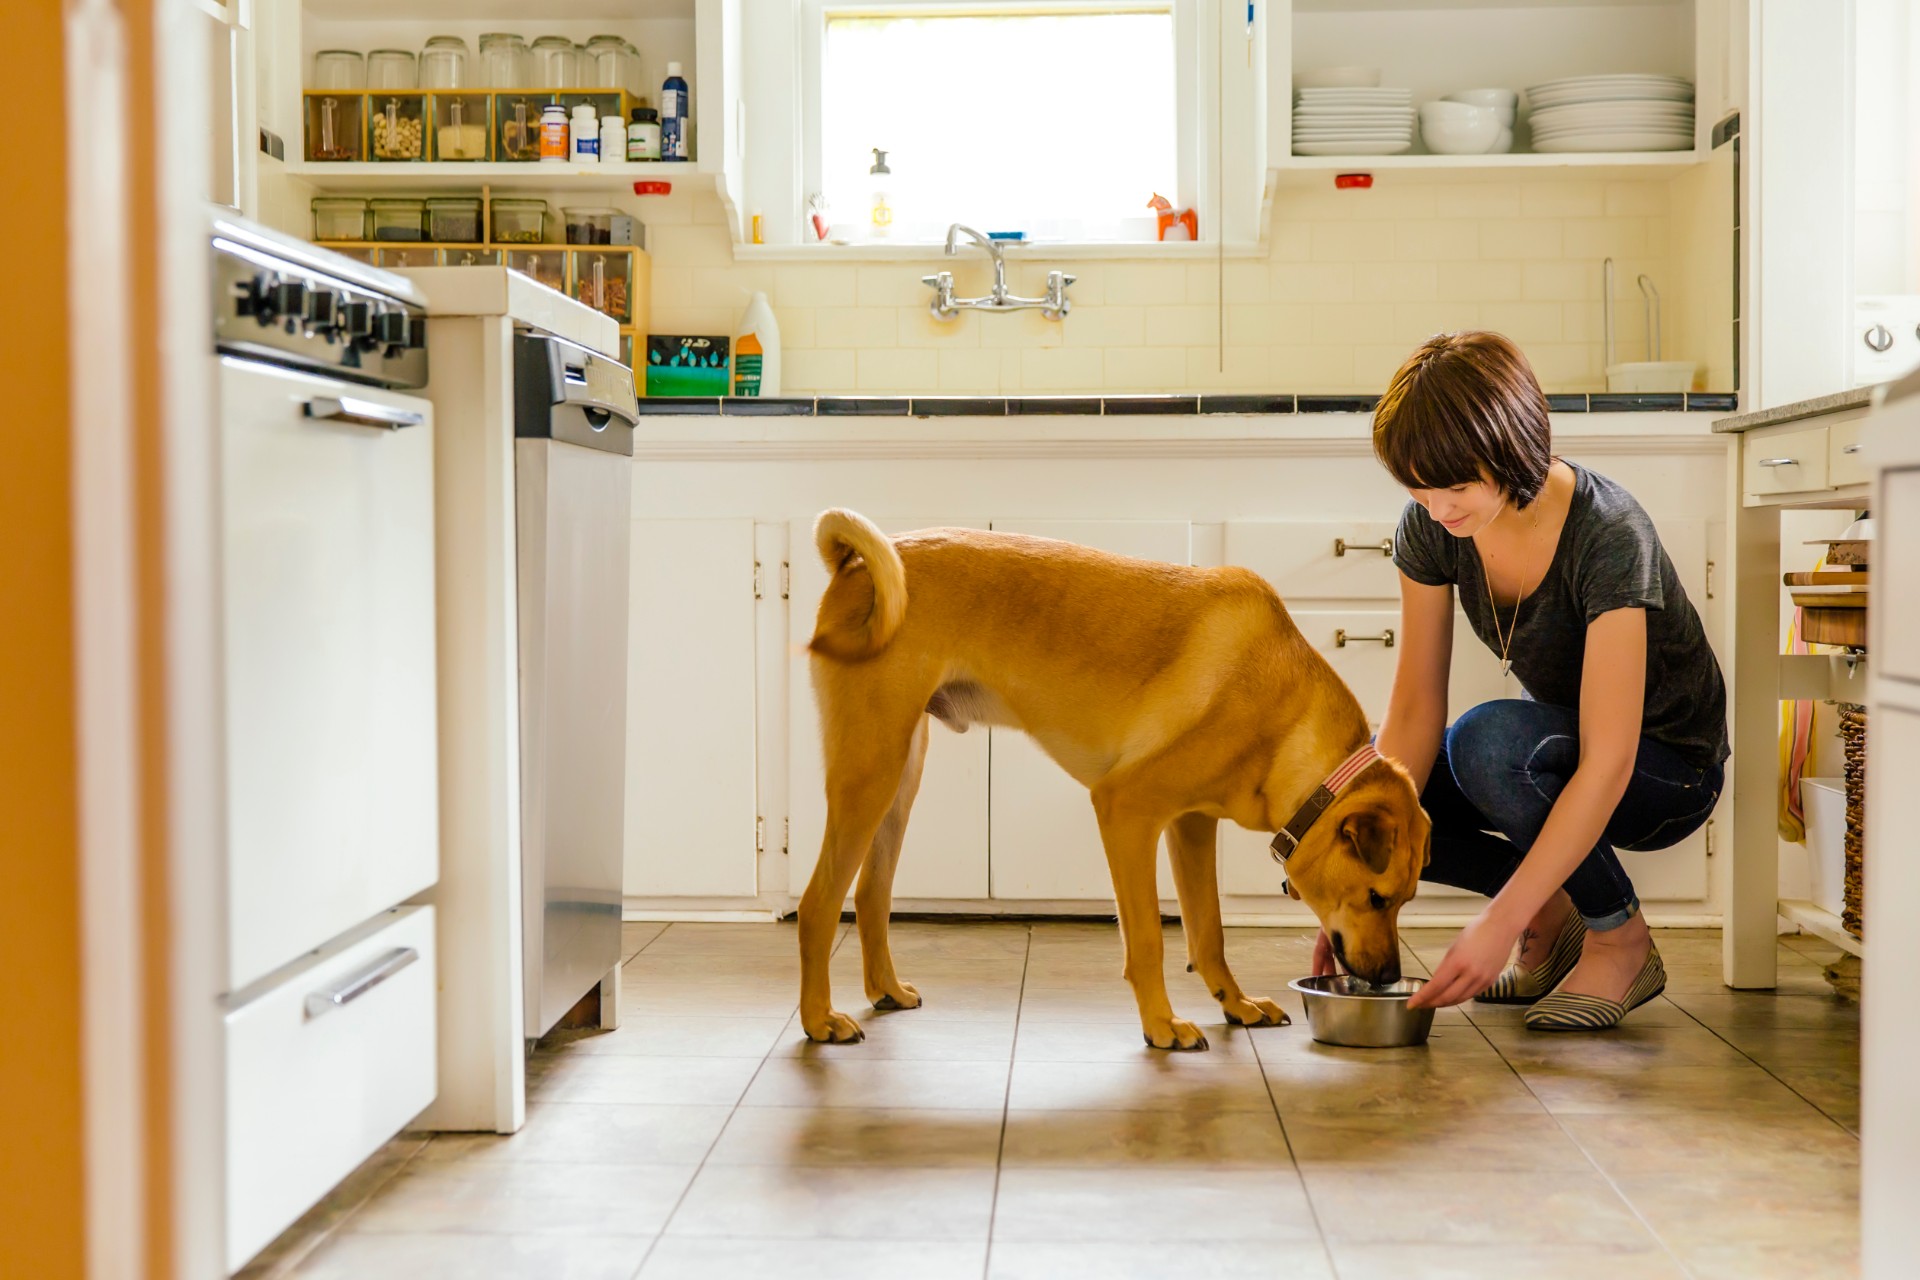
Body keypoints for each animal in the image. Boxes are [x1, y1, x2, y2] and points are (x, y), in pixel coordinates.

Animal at [794, 510, 1428, 1051]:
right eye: (1377, 897)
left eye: (1405, 901)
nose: (1388, 978)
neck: (1285, 718)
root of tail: (857, 564)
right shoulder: (1127, 811)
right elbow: (1147, 936)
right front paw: (1163, 1025)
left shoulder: (1191, 826)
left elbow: (1209, 931)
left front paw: (1236, 1004)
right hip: (869, 772)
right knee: (818, 904)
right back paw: (819, 1019)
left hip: (900, 776)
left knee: (870, 894)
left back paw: (885, 990)